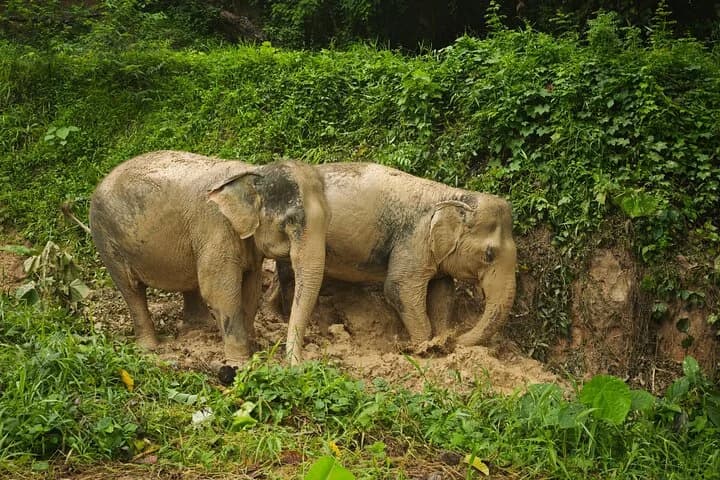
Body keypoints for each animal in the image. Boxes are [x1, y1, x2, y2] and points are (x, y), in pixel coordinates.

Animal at [89, 150, 329, 365]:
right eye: (289, 222)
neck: (252, 173)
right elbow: (220, 291)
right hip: (106, 238)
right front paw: (240, 362)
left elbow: (251, 288)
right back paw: (149, 348)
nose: (296, 366)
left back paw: (198, 332)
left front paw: (253, 346)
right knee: (132, 290)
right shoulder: (216, 226)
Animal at [274, 162, 516, 349]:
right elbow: (398, 287)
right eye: (489, 254)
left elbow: (442, 293)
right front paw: (423, 347)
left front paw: (441, 340)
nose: (458, 339)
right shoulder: (413, 240)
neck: (449, 194)